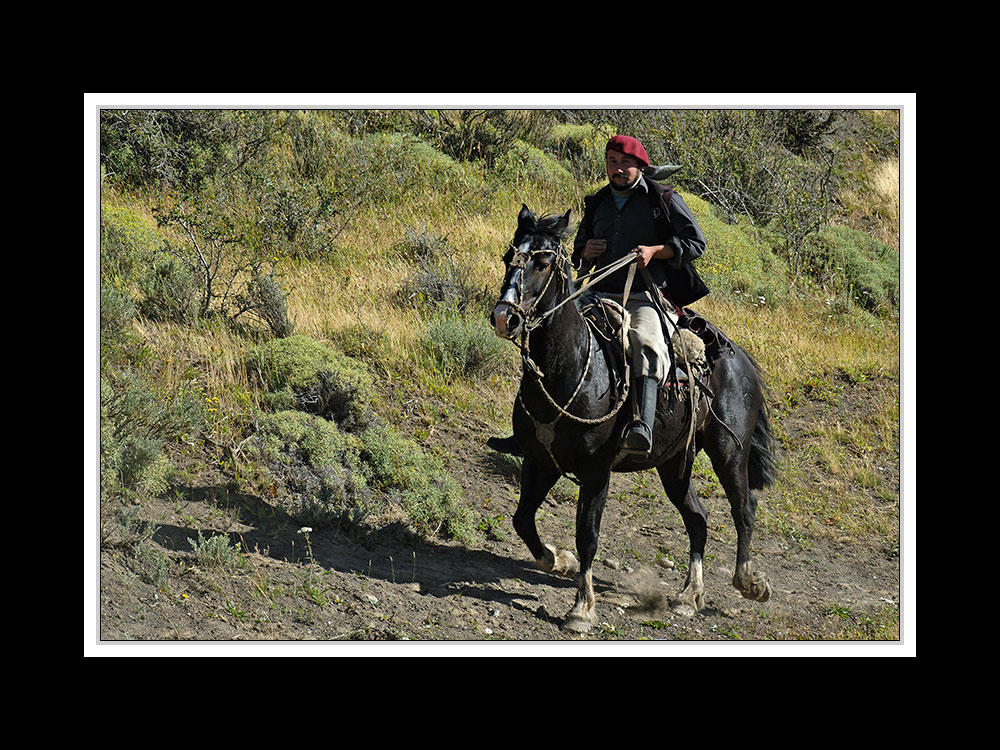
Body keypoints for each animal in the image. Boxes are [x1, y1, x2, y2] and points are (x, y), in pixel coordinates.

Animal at [488, 206, 776, 636]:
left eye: (542, 262)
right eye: (509, 257)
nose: (504, 317)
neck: (571, 366)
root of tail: (739, 358)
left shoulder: (596, 470)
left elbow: (588, 535)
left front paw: (581, 609)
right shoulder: (541, 461)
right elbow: (523, 519)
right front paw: (558, 560)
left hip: (728, 452)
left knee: (744, 508)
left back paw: (749, 582)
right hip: (675, 464)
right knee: (698, 518)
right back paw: (688, 596)